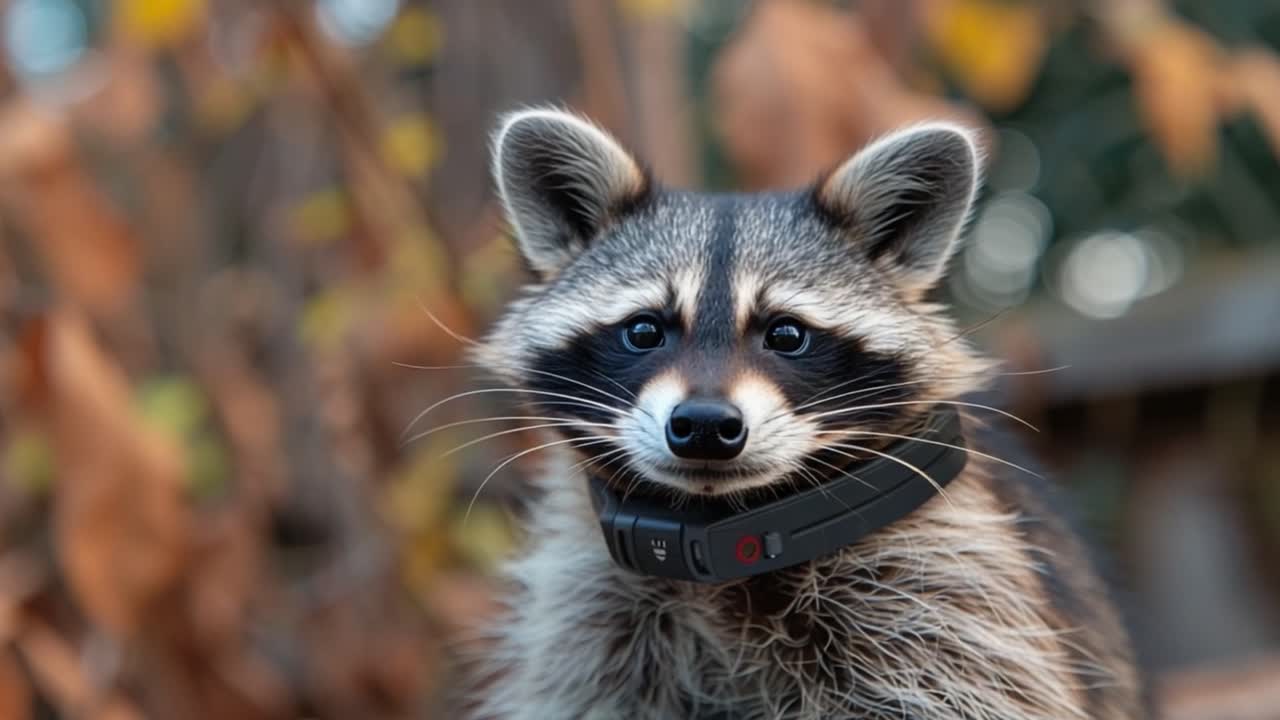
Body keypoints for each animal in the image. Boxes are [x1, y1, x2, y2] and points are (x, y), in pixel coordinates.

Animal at [465, 108, 1143, 719]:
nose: (705, 426)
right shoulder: (594, 615)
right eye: (643, 331)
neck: (719, 524)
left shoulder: (948, 587)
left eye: (787, 334)